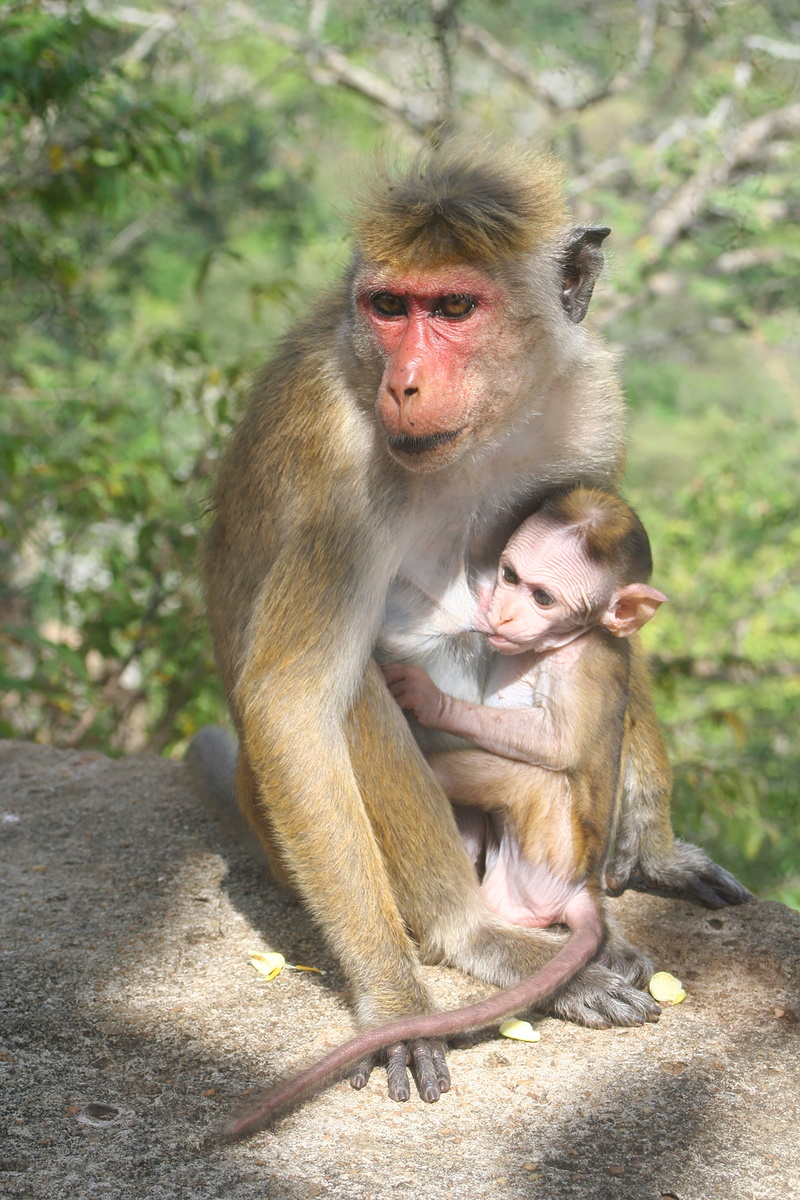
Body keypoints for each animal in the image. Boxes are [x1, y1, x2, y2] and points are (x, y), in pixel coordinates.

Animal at [220, 487, 667, 1140]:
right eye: (510, 575)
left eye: (543, 597)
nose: (501, 613)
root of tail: (579, 889)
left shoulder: (584, 661)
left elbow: (558, 739)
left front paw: (427, 697)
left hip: (533, 855)